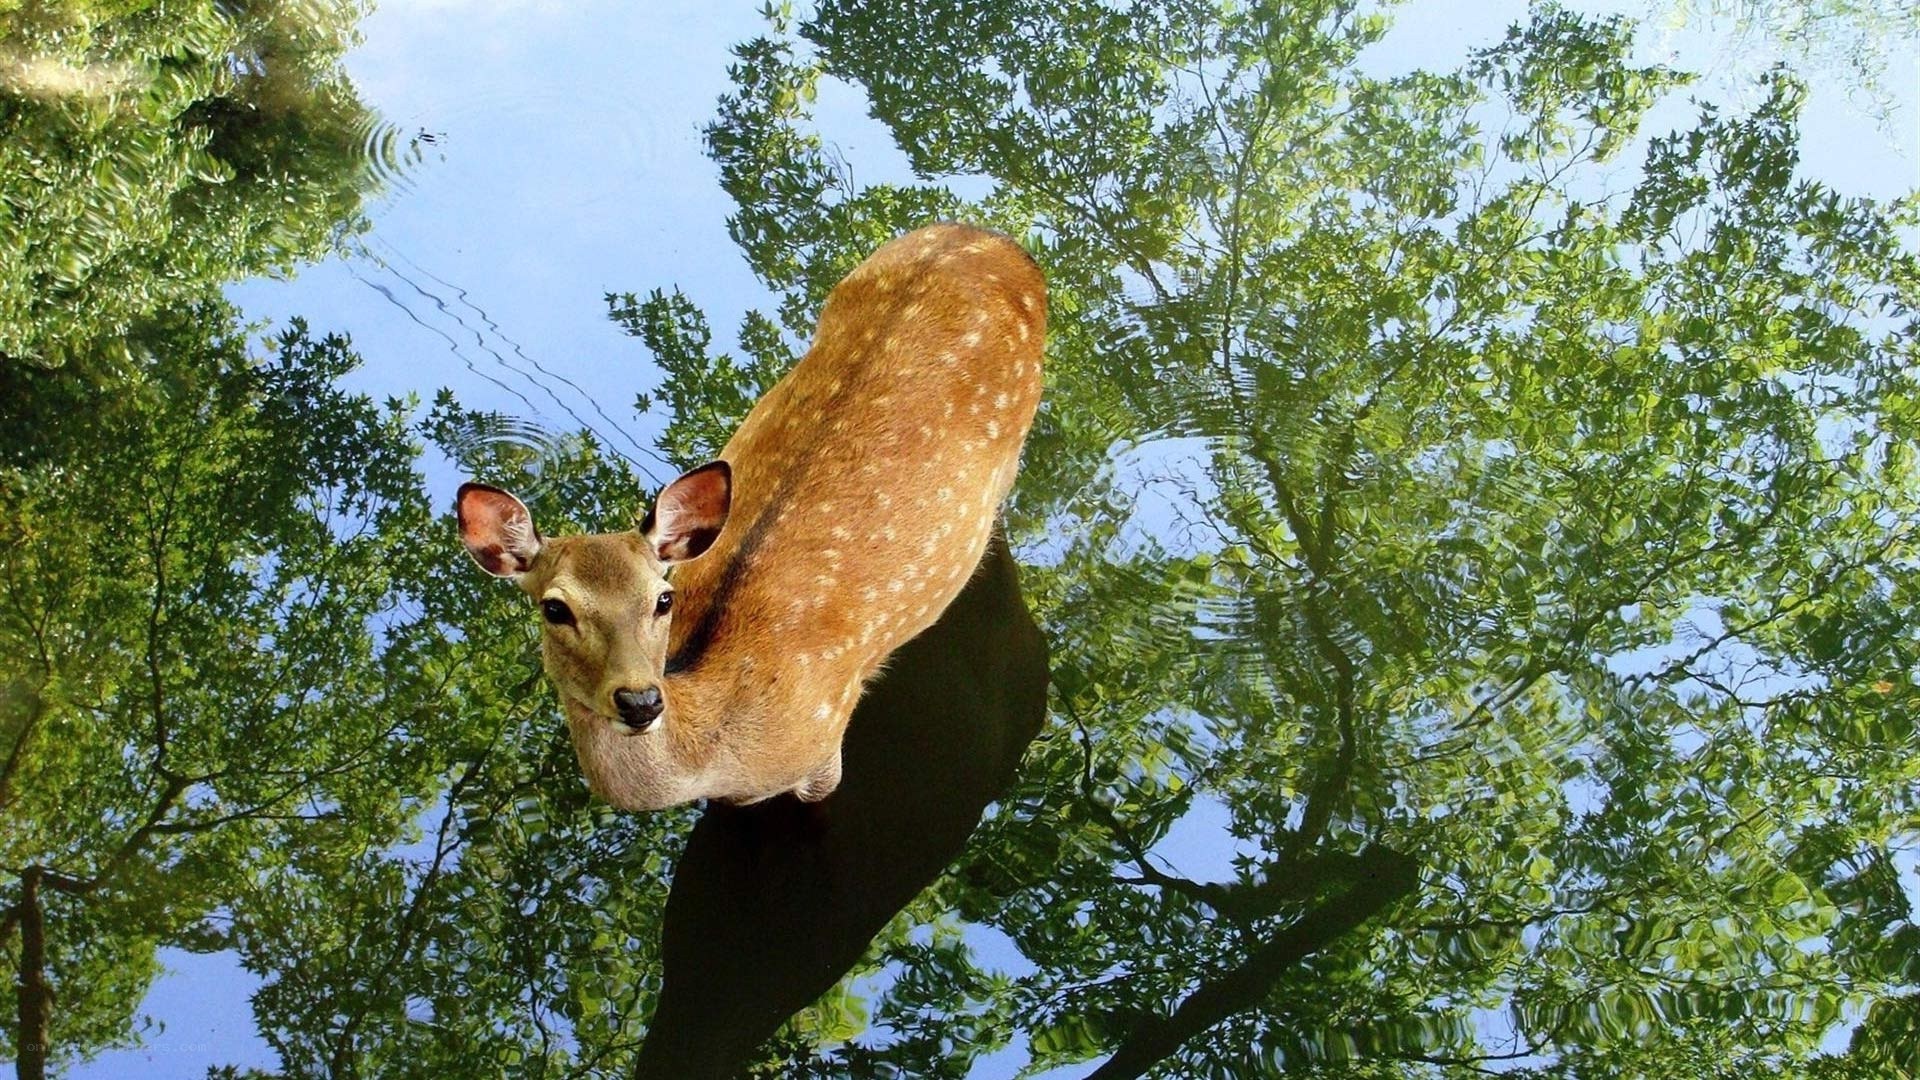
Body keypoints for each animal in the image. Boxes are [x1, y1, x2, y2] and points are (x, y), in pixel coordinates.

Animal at [457, 223, 1046, 809]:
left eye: (662, 598)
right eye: (555, 608)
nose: (640, 700)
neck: (722, 755)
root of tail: (991, 238)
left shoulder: (822, 751)